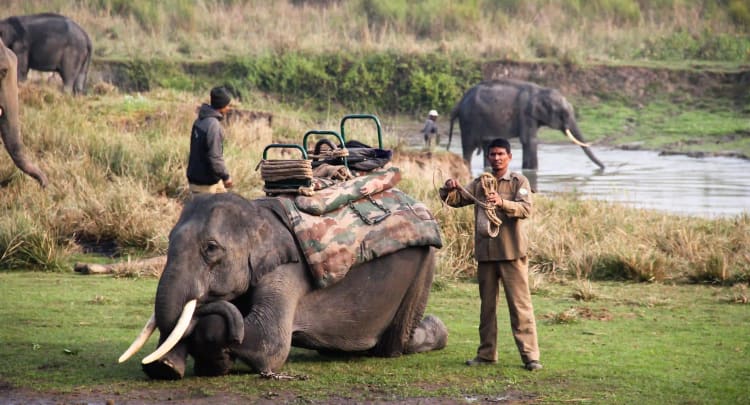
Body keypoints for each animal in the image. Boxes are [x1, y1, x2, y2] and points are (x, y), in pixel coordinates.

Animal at [117, 193, 446, 378]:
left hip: (424, 265)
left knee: (395, 344)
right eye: (169, 241)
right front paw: (167, 368)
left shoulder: (289, 270)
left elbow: (271, 342)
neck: (257, 214)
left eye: (210, 249)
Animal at [450, 79, 608, 170]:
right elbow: (530, 141)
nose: (604, 167)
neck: (541, 91)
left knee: (487, 145)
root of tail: (459, 103)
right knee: (468, 148)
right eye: (563, 114)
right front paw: (532, 171)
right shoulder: (526, 114)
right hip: (468, 121)